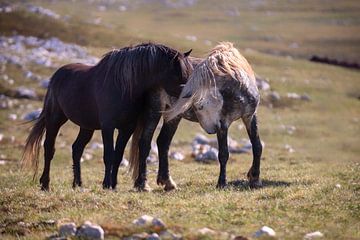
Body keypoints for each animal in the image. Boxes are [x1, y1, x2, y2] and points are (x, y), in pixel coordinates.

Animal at [21, 42, 193, 190]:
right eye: (179, 74)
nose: (188, 96)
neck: (123, 87)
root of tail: (56, 75)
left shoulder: (127, 128)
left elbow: (118, 155)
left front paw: (113, 184)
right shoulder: (108, 127)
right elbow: (108, 155)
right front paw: (106, 184)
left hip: (86, 127)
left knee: (77, 149)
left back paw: (78, 183)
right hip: (55, 119)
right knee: (49, 149)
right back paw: (45, 184)